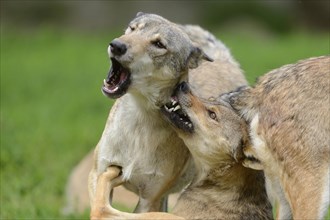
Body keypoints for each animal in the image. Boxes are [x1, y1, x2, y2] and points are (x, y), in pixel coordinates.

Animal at [89, 81, 272, 220]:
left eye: (212, 115)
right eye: (210, 100)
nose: (183, 85)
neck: (221, 185)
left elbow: (100, 209)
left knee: (100, 209)